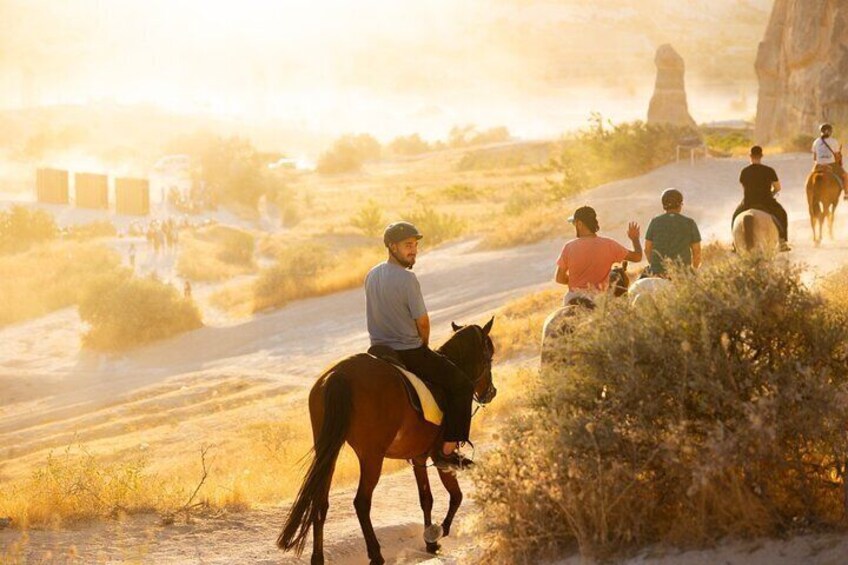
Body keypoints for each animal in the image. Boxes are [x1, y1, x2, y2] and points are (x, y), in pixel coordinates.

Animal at [278, 320, 494, 560]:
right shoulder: (440, 456)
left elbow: (426, 498)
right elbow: (456, 495)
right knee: (361, 502)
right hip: (372, 456)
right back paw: (375, 555)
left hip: (328, 453)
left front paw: (430, 543)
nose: (491, 392)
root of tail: (339, 374)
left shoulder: (419, 457)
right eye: (490, 357)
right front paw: (440, 531)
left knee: (320, 502)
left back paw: (318, 557)